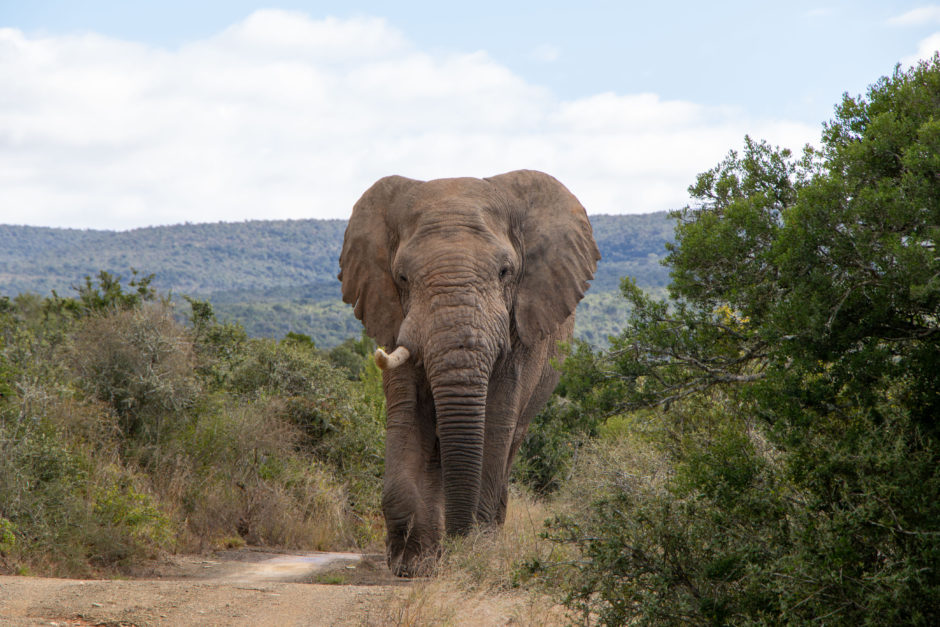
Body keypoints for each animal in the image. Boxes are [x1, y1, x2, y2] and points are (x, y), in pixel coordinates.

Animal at [342, 169, 600, 576]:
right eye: (402, 277)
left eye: (506, 272)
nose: (460, 545)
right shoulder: (393, 318)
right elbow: (408, 415)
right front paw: (411, 566)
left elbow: (494, 422)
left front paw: (475, 554)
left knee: (509, 443)